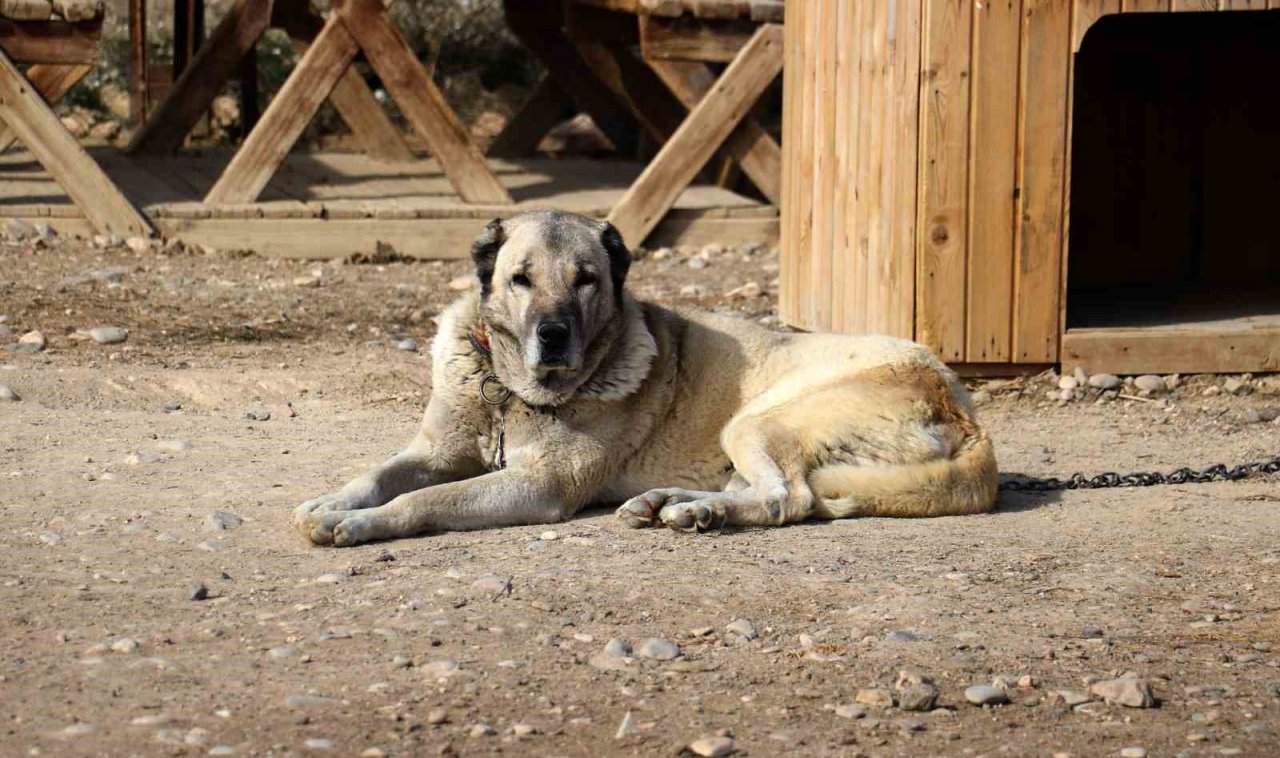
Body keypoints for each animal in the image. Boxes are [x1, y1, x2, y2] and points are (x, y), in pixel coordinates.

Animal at [293, 209, 998, 548]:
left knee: (788, 499)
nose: (553, 333)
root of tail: (964, 409)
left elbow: (424, 501)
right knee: (767, 490)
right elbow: (377, 475)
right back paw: (677, 505)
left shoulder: (538, 486)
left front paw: (360, 525)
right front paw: (331, 503)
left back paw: (698, 513)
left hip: (760, 420)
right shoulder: (434, 451)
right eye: (520, 278)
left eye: (586, 280)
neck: (508, 394)